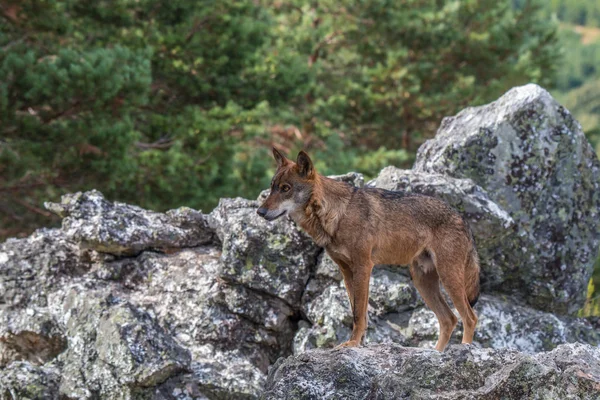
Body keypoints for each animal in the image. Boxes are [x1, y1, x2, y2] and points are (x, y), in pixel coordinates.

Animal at [255, 148, 480, 350]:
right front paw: (359, 343)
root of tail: (463, 220)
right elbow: (357, 311)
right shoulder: (347, 272)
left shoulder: (364, 266)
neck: (338, 215)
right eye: (272, 187)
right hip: (422, 281)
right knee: (449, 319)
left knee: (470, 317)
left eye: (286, 188)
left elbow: (357, 314)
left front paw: (352, 343)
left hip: (448, 278)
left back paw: (466, 350)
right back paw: (436, 354)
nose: (260, 212)